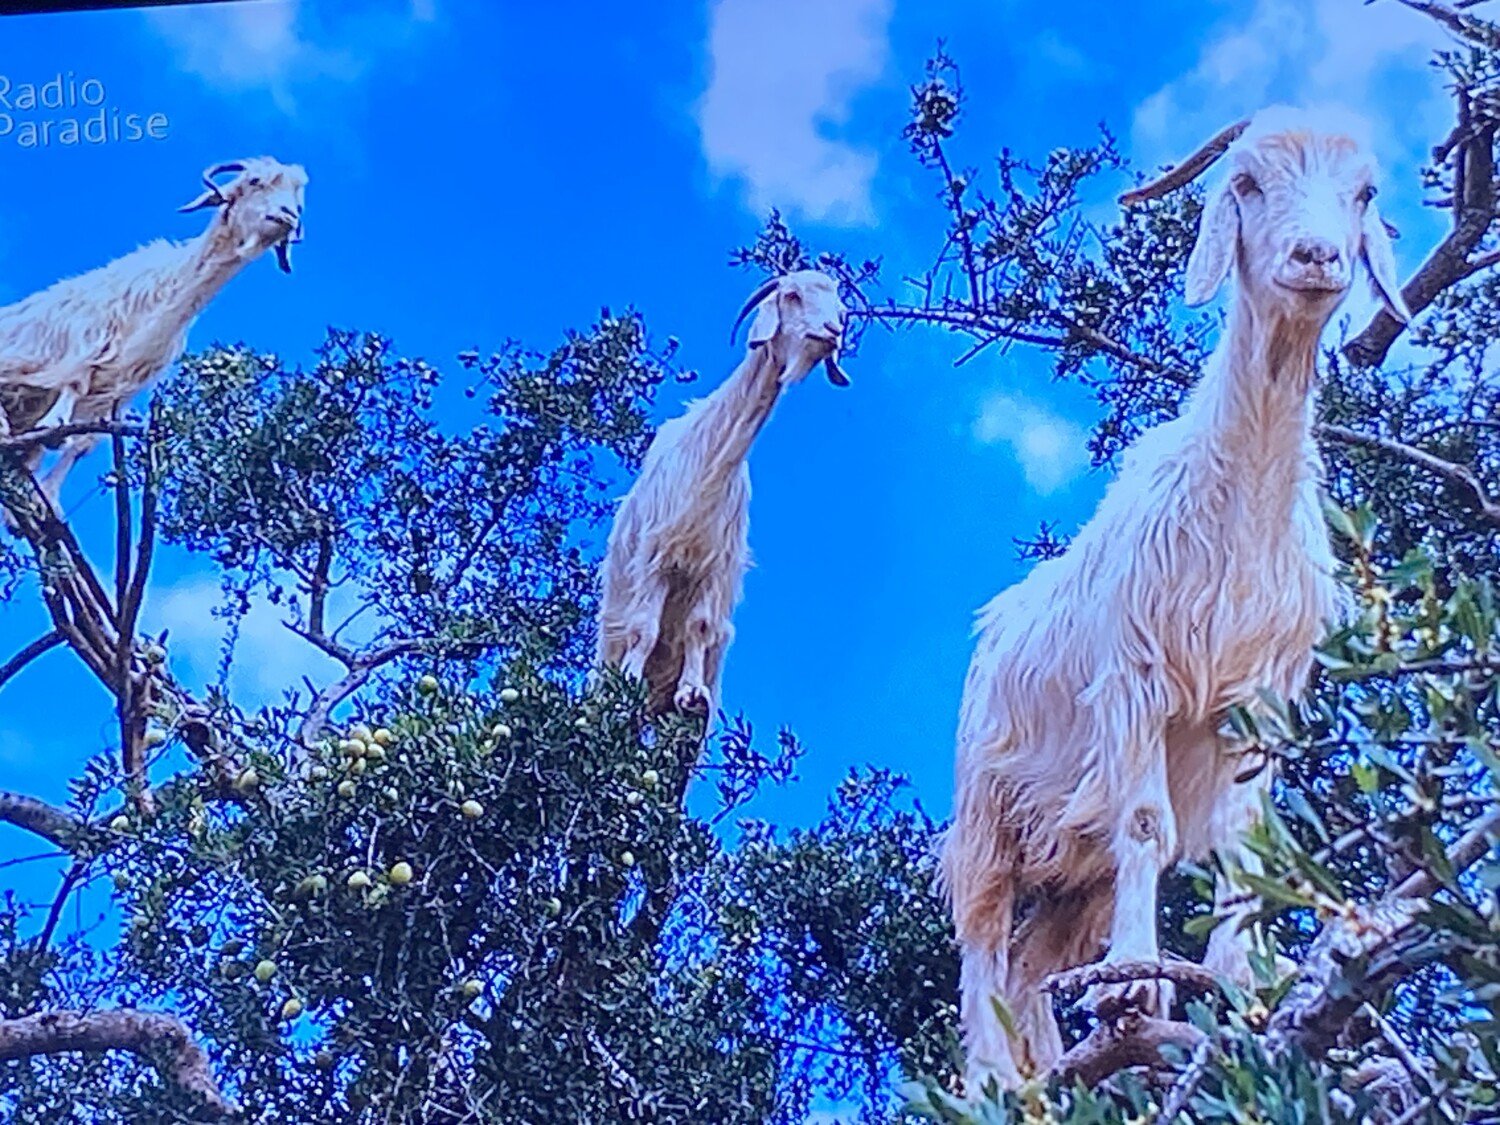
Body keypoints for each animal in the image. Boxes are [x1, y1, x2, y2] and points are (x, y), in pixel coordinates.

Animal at [0, 156, 306, 508]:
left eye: (297, 198)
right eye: (255, 181)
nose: (288, 215)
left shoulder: (120, 389)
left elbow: (81, 444)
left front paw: (49, 496)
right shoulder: (87, 339)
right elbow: (75, 383)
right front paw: (53, 423)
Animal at [595, 269, 849, 718]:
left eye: (841, 305)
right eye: (793, 295)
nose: (833, 331)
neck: (709, 458)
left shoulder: (713, 568)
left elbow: (698, 627)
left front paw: (691, 692)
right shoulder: (657, 555)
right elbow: (644, 627)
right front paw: (627, 682)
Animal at [938, 105, 1410, 1092]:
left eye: (1363, 194)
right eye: (1248, 183)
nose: (1317, 256)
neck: (1235, 508)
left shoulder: (1260, 698)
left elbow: (1239, 840)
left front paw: (1241, 983)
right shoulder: (1134, 679)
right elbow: (1150, 824)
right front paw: (1139, 985)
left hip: (1075, 863)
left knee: (1038, 959)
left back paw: (1063, 1065)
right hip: (987, 811)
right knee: (984, 938)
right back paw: (1000, 1076)